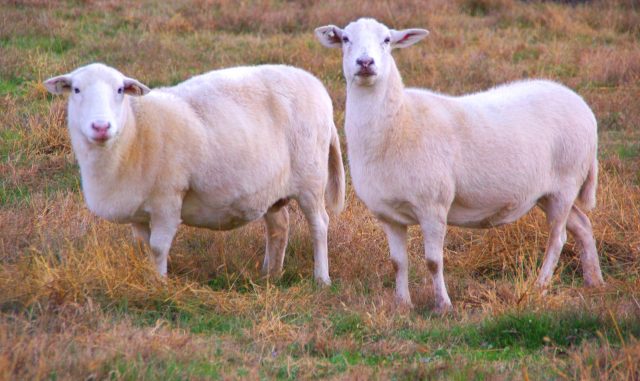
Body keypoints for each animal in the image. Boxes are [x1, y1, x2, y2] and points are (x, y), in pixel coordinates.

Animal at [44, 62, 344, 284]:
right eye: (76, 90)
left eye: (120, 90)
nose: (101, 127)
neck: (134, 133)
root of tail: (315, 84)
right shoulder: (137, 211)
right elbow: (142, 247)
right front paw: (147, 278)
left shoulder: (168, 198)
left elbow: (158, 247)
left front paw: (159, 285)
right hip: (270, 188)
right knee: (279, 226)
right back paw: (271, 274)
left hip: (311, 177)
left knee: (319, 225)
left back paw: (321, 278)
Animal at [316, 18, 604, 312]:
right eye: (345, 39)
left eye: (387, 40)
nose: (365, 62)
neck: (399, 121)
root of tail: (580, 103)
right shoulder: (388, 214)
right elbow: (398, 262)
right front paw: (402, 304)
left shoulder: (433, 206)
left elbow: (433, 262)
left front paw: (443, 306)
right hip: (546, 193)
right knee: (582, 225)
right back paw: (594, 281)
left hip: (566, 183)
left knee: (558, 239)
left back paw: (540, 286)